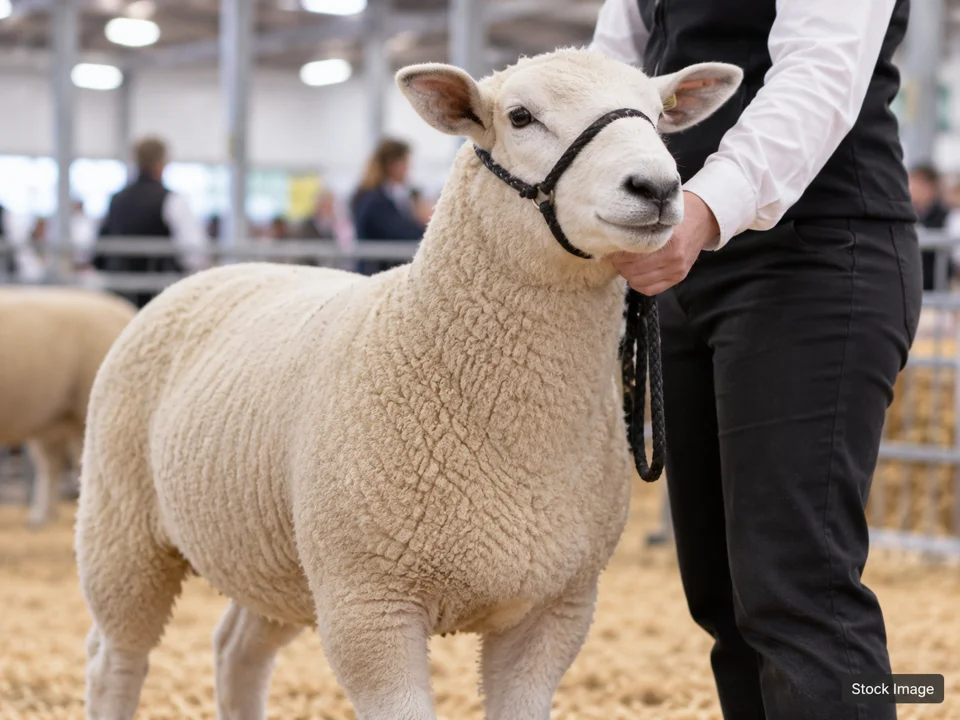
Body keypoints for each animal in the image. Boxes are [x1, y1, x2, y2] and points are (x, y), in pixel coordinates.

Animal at [75, 49, 742, 720]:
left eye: (659, 114)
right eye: (520, 117)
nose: (656, 188)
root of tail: (213, 272)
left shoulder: (556, 608)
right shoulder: (369, 606)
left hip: (280, 563)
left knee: (235, 648)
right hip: (122, 530)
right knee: (115, 659)